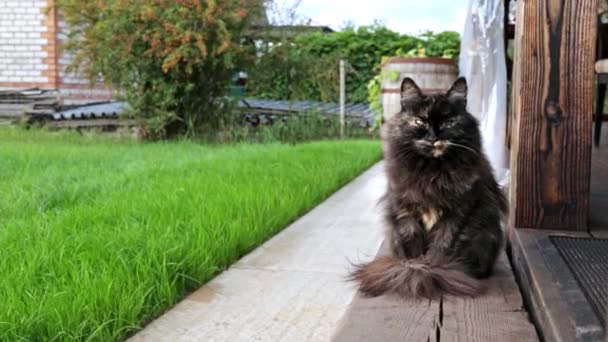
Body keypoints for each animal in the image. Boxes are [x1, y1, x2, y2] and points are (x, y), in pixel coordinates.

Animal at [350, 76, 506, 298]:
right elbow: (413, 249)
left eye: (449, 123)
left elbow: (441, 248)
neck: (432, 171)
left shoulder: (456, 215)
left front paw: (431, 271)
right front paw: (415, 270)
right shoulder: (406, 214)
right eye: (420, 122)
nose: (434, 138)